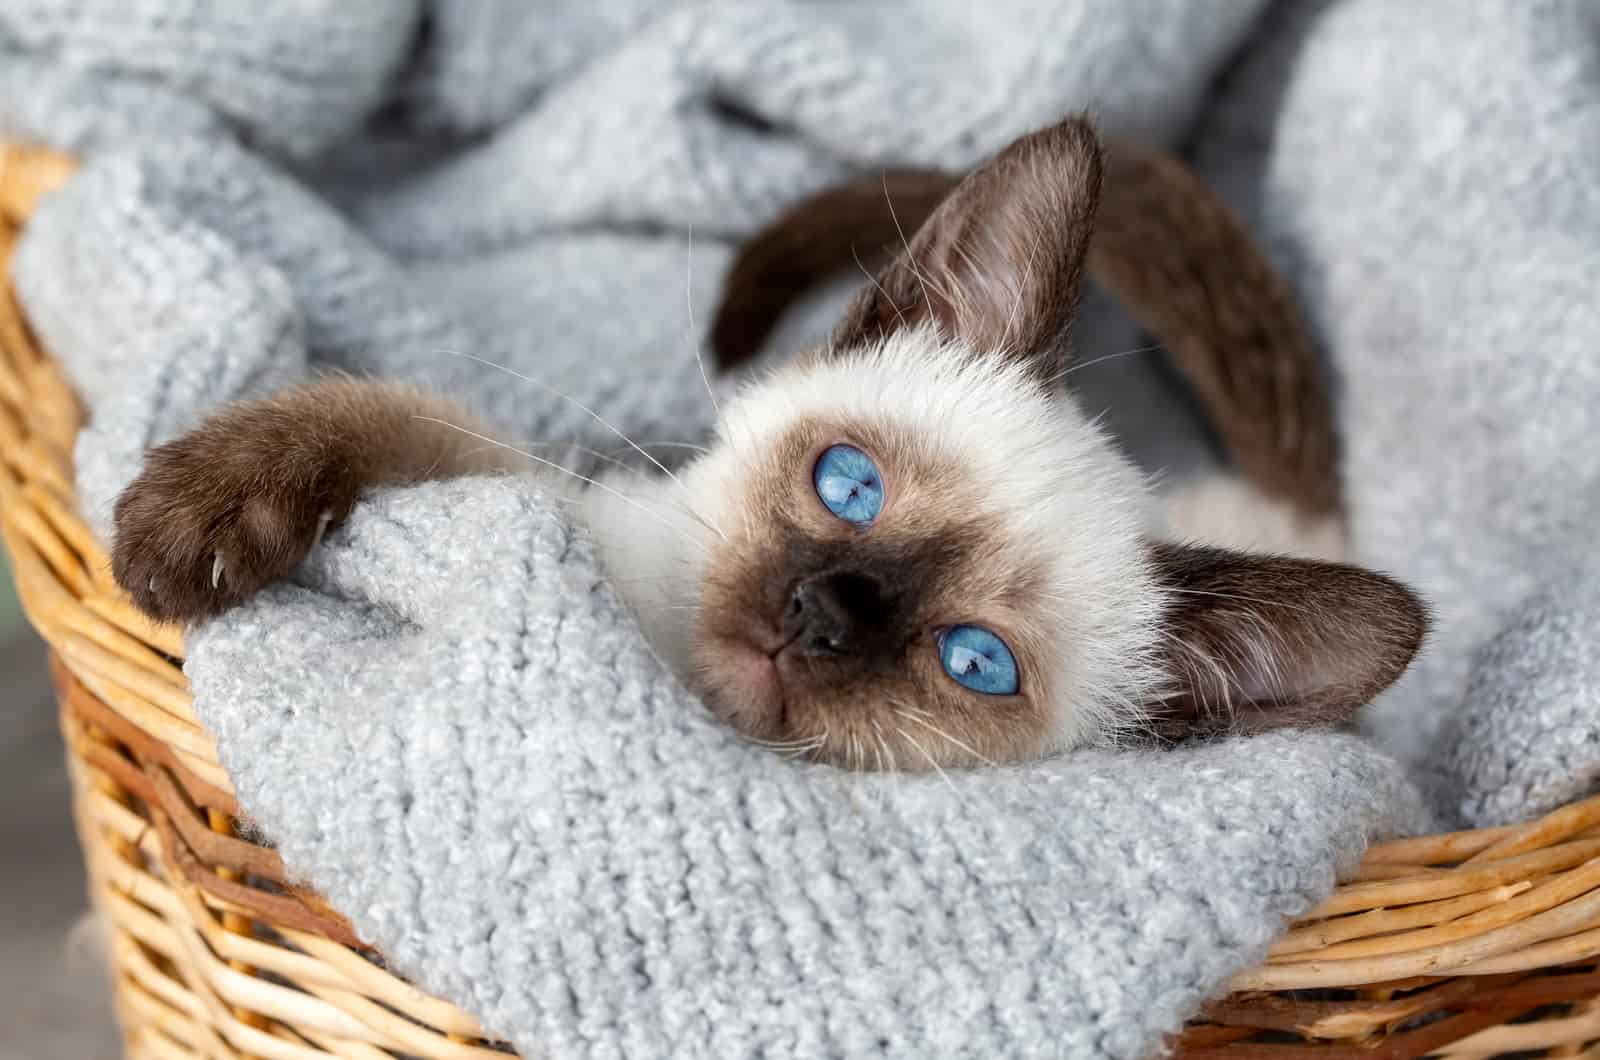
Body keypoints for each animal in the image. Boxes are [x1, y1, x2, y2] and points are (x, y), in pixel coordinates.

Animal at [109, 118, 1427, 771]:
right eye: (849, 484)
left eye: (976, 663)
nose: (821, 616)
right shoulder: (564, 501)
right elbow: (383, 411)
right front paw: (187, 526)